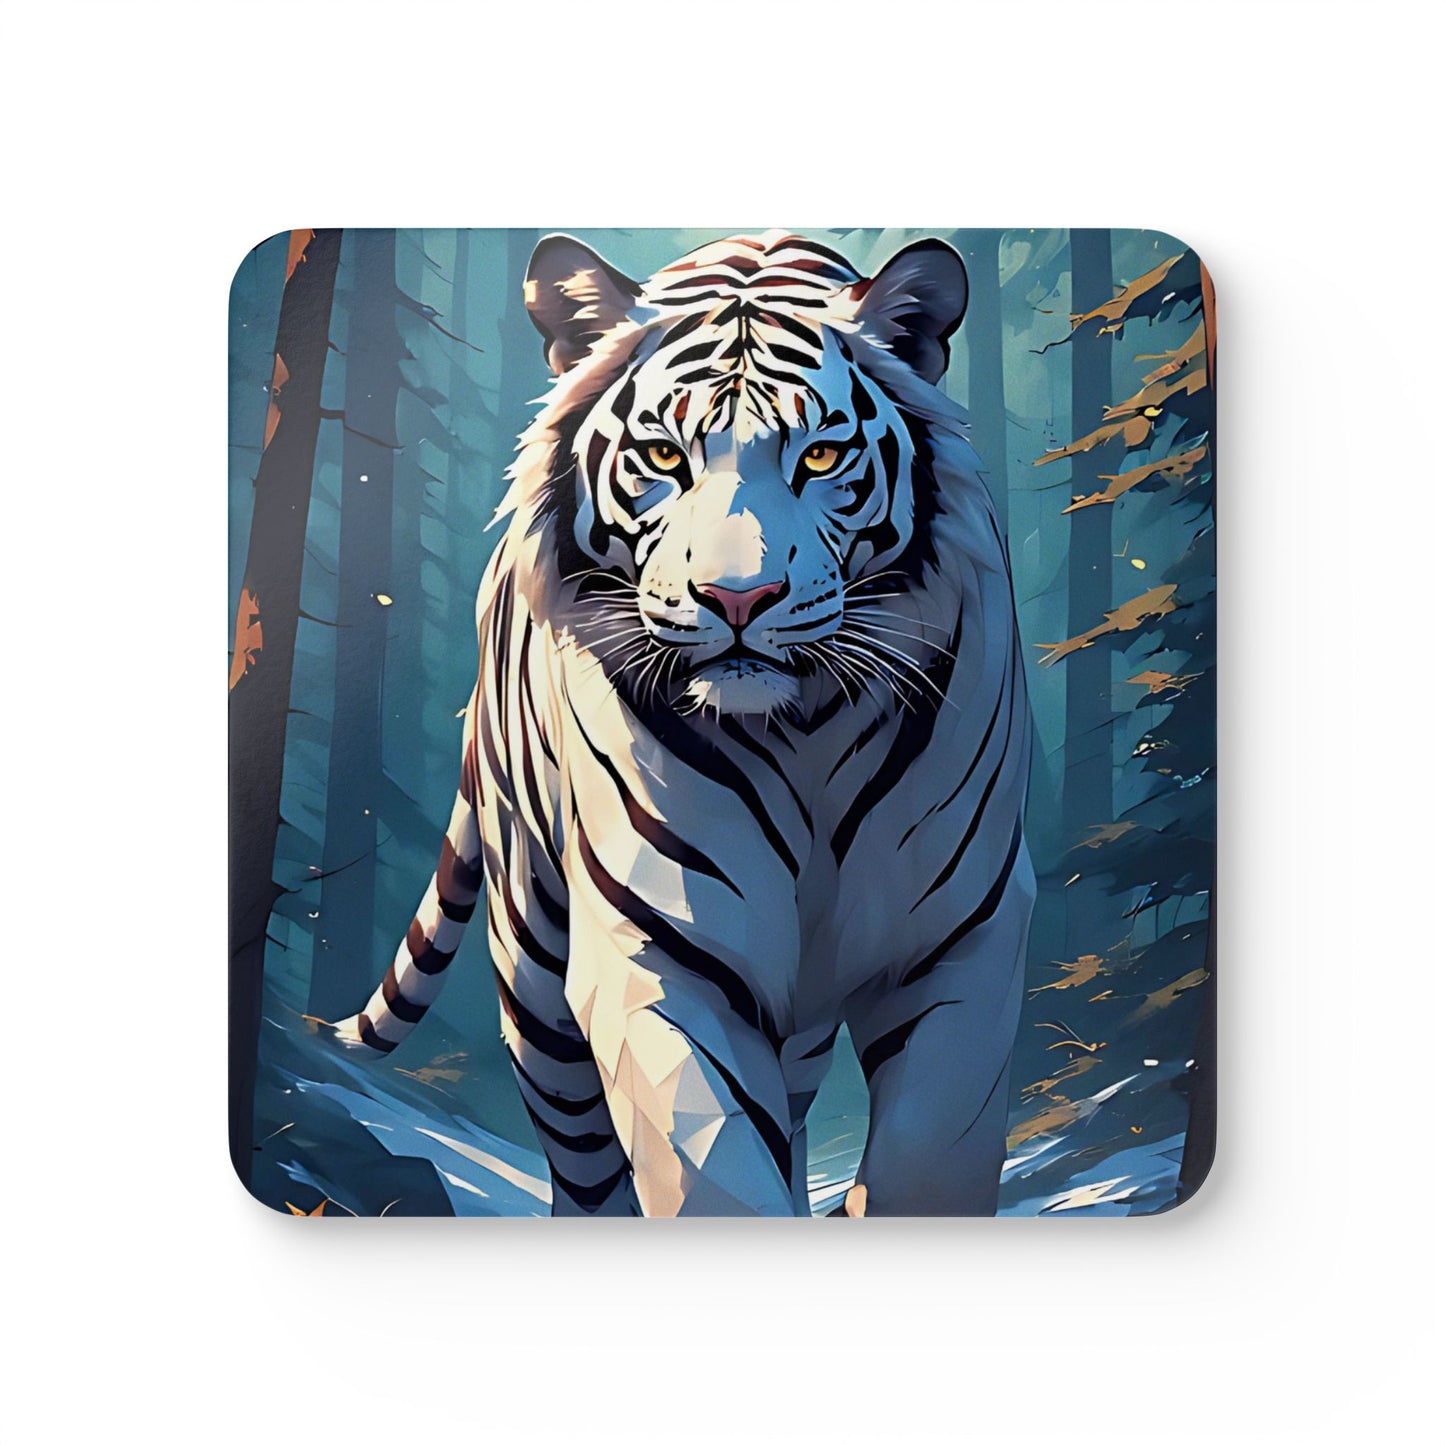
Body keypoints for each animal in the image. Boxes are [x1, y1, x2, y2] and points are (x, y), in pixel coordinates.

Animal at [328, 230, 1035, 1217]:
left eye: (821, 459)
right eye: (663, 457)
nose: (738, 598)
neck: (804, 734)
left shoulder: (963, 937)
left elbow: (930, 1158)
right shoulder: (663, 952)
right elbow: (711, 1168)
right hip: (534, 964)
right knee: (585, 1166)